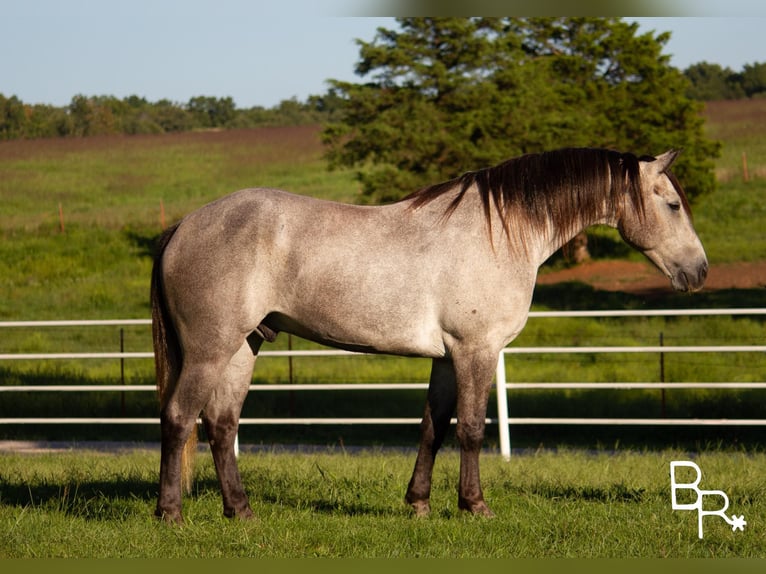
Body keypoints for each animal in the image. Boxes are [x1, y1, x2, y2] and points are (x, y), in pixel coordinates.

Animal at [153, 146, 712, 524]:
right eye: (672, 205)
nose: (700, 271)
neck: (502, 232)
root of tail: (184, 226)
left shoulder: (446, 357)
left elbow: (432, 427)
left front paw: (418, 504)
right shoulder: (476, 350)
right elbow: (472, 429)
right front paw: (474, 505)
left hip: (243, 346)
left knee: (221, 424)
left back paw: (241, 511)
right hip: (209, 350)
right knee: (179, 418)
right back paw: (171, 514)